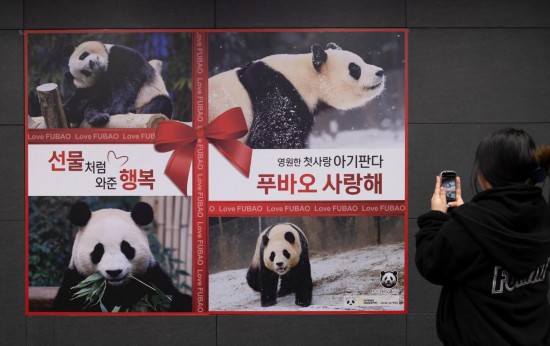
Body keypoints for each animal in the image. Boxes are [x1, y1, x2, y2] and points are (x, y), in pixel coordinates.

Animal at [53, 201, 192, 312]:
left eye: (126, 248)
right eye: (98, 251)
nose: (114, 272)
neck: (117, 289)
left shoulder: (152, 278)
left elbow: (173, 298)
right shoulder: (76, 283)